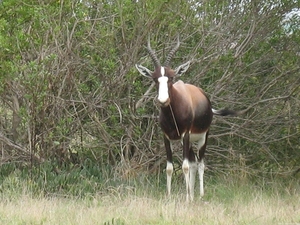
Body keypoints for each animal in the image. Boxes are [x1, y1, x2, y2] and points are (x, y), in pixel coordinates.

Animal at [136, 37, 237, 202]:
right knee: (194, 163)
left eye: (171, 77)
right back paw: (192, 194)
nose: (163, 100)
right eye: (155, 79)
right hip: (189, 142)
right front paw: (170, 196)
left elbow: (184, 166)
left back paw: (200, 195)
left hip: (202, 137)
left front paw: (187, 199)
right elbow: (169, 168)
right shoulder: (166, 137)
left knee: (200, 163)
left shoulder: (186, 135)